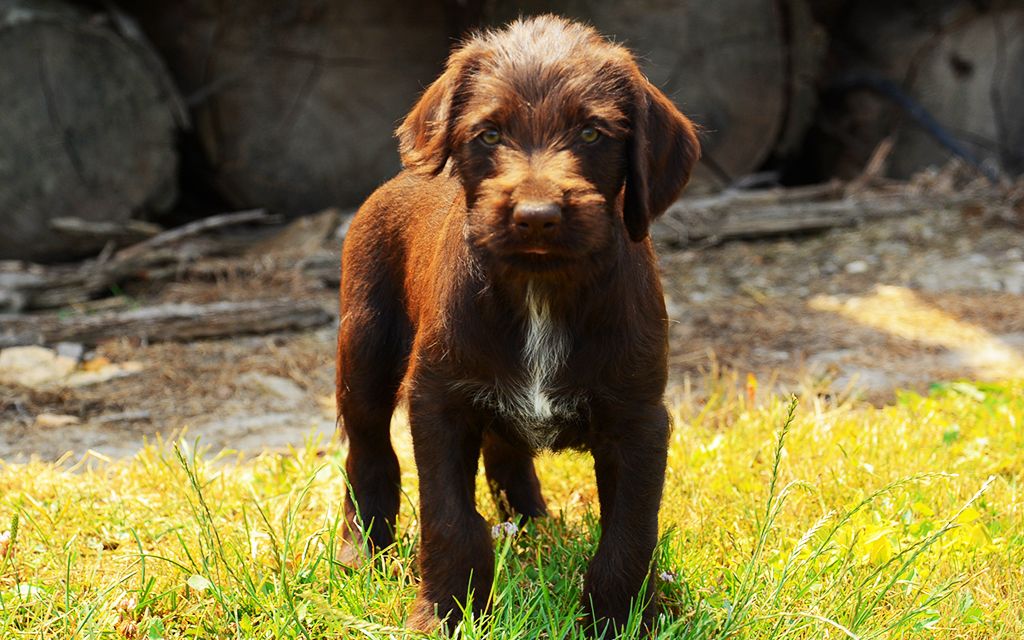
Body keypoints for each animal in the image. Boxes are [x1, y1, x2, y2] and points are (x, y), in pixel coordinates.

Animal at [333, 14, 696, 634]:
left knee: (505, 449)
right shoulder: (439, 403)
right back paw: (363, 549)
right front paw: (443, 616)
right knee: (369, 453)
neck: (538, 290)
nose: (536, 217)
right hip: (364, 353)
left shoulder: (639, 419)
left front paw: (619, 621)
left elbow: (628, 536)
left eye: (592, 134)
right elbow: (451, 523)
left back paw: (533, 524)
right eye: (489, 134)